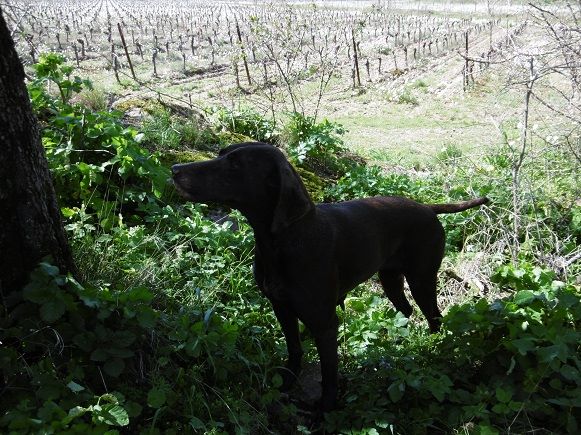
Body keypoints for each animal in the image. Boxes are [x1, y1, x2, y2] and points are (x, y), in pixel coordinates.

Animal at [172, 142, 488, 412]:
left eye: (235, 165)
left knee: (434, 317)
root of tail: (428, 207)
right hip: (390, 279)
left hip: (421, 279)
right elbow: (294, 349)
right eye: (221, 154)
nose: (175, 169)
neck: (284, 241)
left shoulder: (324, 323)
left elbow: (329, 372)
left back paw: (432, 352)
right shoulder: (281, 307)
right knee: (406, 311)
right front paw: (287, 382)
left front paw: (325, 408)